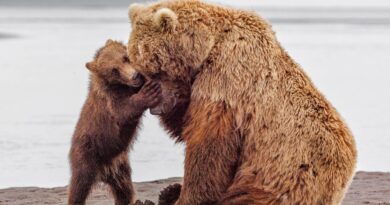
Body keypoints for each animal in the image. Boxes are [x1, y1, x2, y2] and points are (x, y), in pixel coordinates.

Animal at [127, 0, 356, 204]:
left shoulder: (227, 82)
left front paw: (186, 198)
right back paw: (168, 191)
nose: (154, 106)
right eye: (137, 62)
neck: (207, 49)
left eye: (152, 67)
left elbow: (208, 145)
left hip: (283, 176)